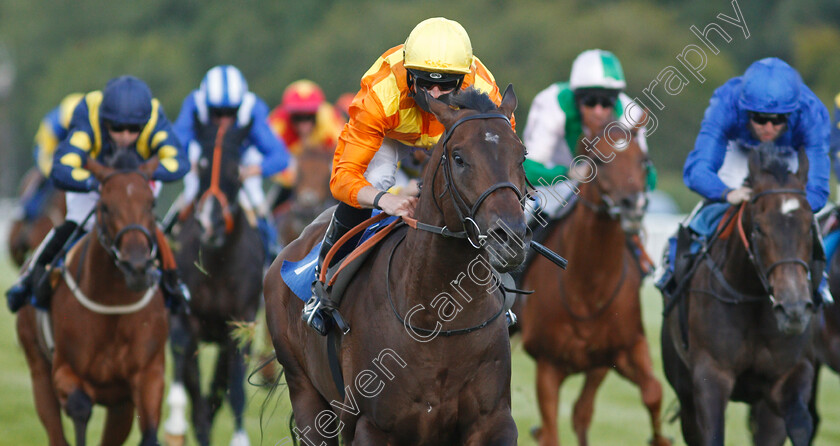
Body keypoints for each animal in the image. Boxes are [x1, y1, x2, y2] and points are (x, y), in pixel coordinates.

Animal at [16, 154, 166, 446]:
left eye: (152, 204)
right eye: (105, 206)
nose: (137, 267)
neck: (114, 304)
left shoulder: (148, 375)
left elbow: (151, 432)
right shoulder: (64, 371)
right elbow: (80, 406)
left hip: (121, 407)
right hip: (38, 371)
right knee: (56, 432)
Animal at [161, 117, 260, 446]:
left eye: (236, 170)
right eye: (201, 166)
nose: (210, 223)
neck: (216, 265)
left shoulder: (241, 322)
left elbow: (235, 390)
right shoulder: (184, 319)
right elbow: (183, 378)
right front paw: (175, 424)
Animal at [266, 87, 528, 446]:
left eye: (522, 155)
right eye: (459, 158)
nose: (510, 236)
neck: (439, 315)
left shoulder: (493, 422)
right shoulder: (373, 427)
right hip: (306, 395)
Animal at [520, 125, 668, 446]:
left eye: (644, 161)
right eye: (599, 160)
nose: (633, 205)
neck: (588, 290)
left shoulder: (623, 348)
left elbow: (653, 391)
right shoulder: (547, 364)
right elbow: (551, 432)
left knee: (581, 412)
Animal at [664, 147, 812, 446]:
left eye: (809, 226)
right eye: (758, 228)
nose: (793, 309)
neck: (752, 297)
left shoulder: (788, 375)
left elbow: (801, 425)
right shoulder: (710, 374)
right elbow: (712, 434)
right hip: (682, 387)